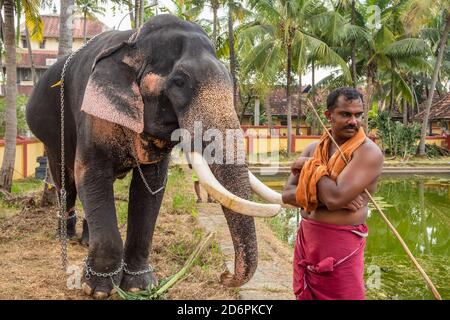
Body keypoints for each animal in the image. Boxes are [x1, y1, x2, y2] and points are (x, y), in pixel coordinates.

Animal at [25, 14, 282, 300]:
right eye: (179, 81)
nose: (224, 276)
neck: (134, 42)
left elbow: (150, 188)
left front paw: (140, 286)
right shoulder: (93, 115)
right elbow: (91, 175)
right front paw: (97, 289)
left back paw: (86, 240)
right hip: (49, 131)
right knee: (66, 180)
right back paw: (66, 235)